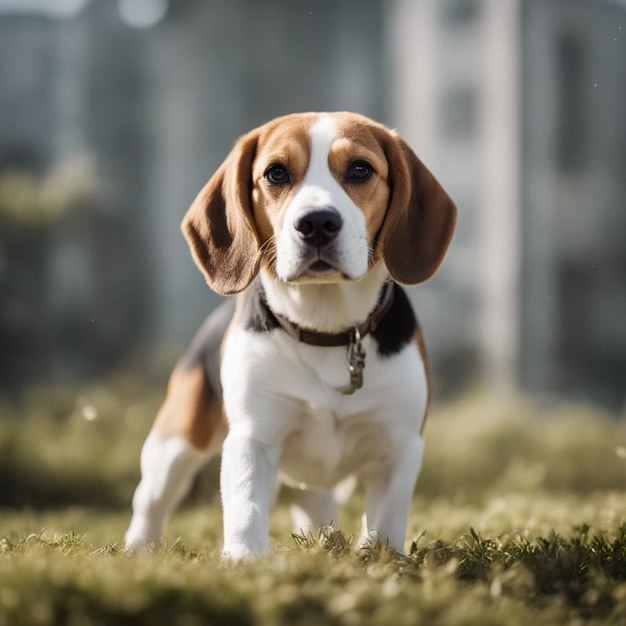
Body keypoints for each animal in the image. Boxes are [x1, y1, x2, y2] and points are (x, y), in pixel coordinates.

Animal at [123, 111, 454, 556]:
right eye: (276, 173)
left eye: (360, 169)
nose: (317, 223)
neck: (328, 330)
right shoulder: (252, 439)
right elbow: (246, 505)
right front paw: (245, 558)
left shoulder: (398, 444)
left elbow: (385, 519)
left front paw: (377, 559)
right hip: (175, 443)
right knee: (151, 500)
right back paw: (139, 548)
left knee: (318, 509)